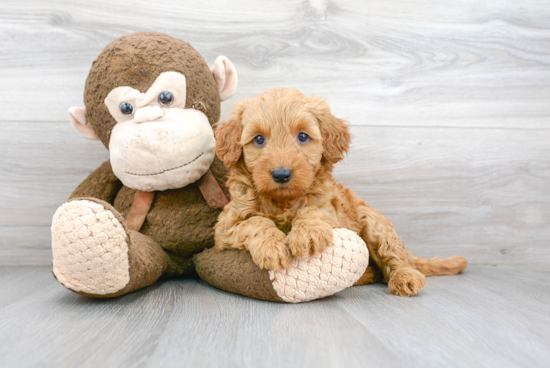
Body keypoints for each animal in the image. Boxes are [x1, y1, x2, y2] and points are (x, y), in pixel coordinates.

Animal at [213, 88, 468, 296]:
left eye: (302, 136)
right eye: (258, 139)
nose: (281, 174)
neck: (283, 202)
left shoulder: (332, 211)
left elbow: (314, 211)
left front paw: (308, 234)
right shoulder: (226, 228)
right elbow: (254, 222)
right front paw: (272, 248)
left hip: (374, 224)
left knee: (394, 258)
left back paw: (405, 277)